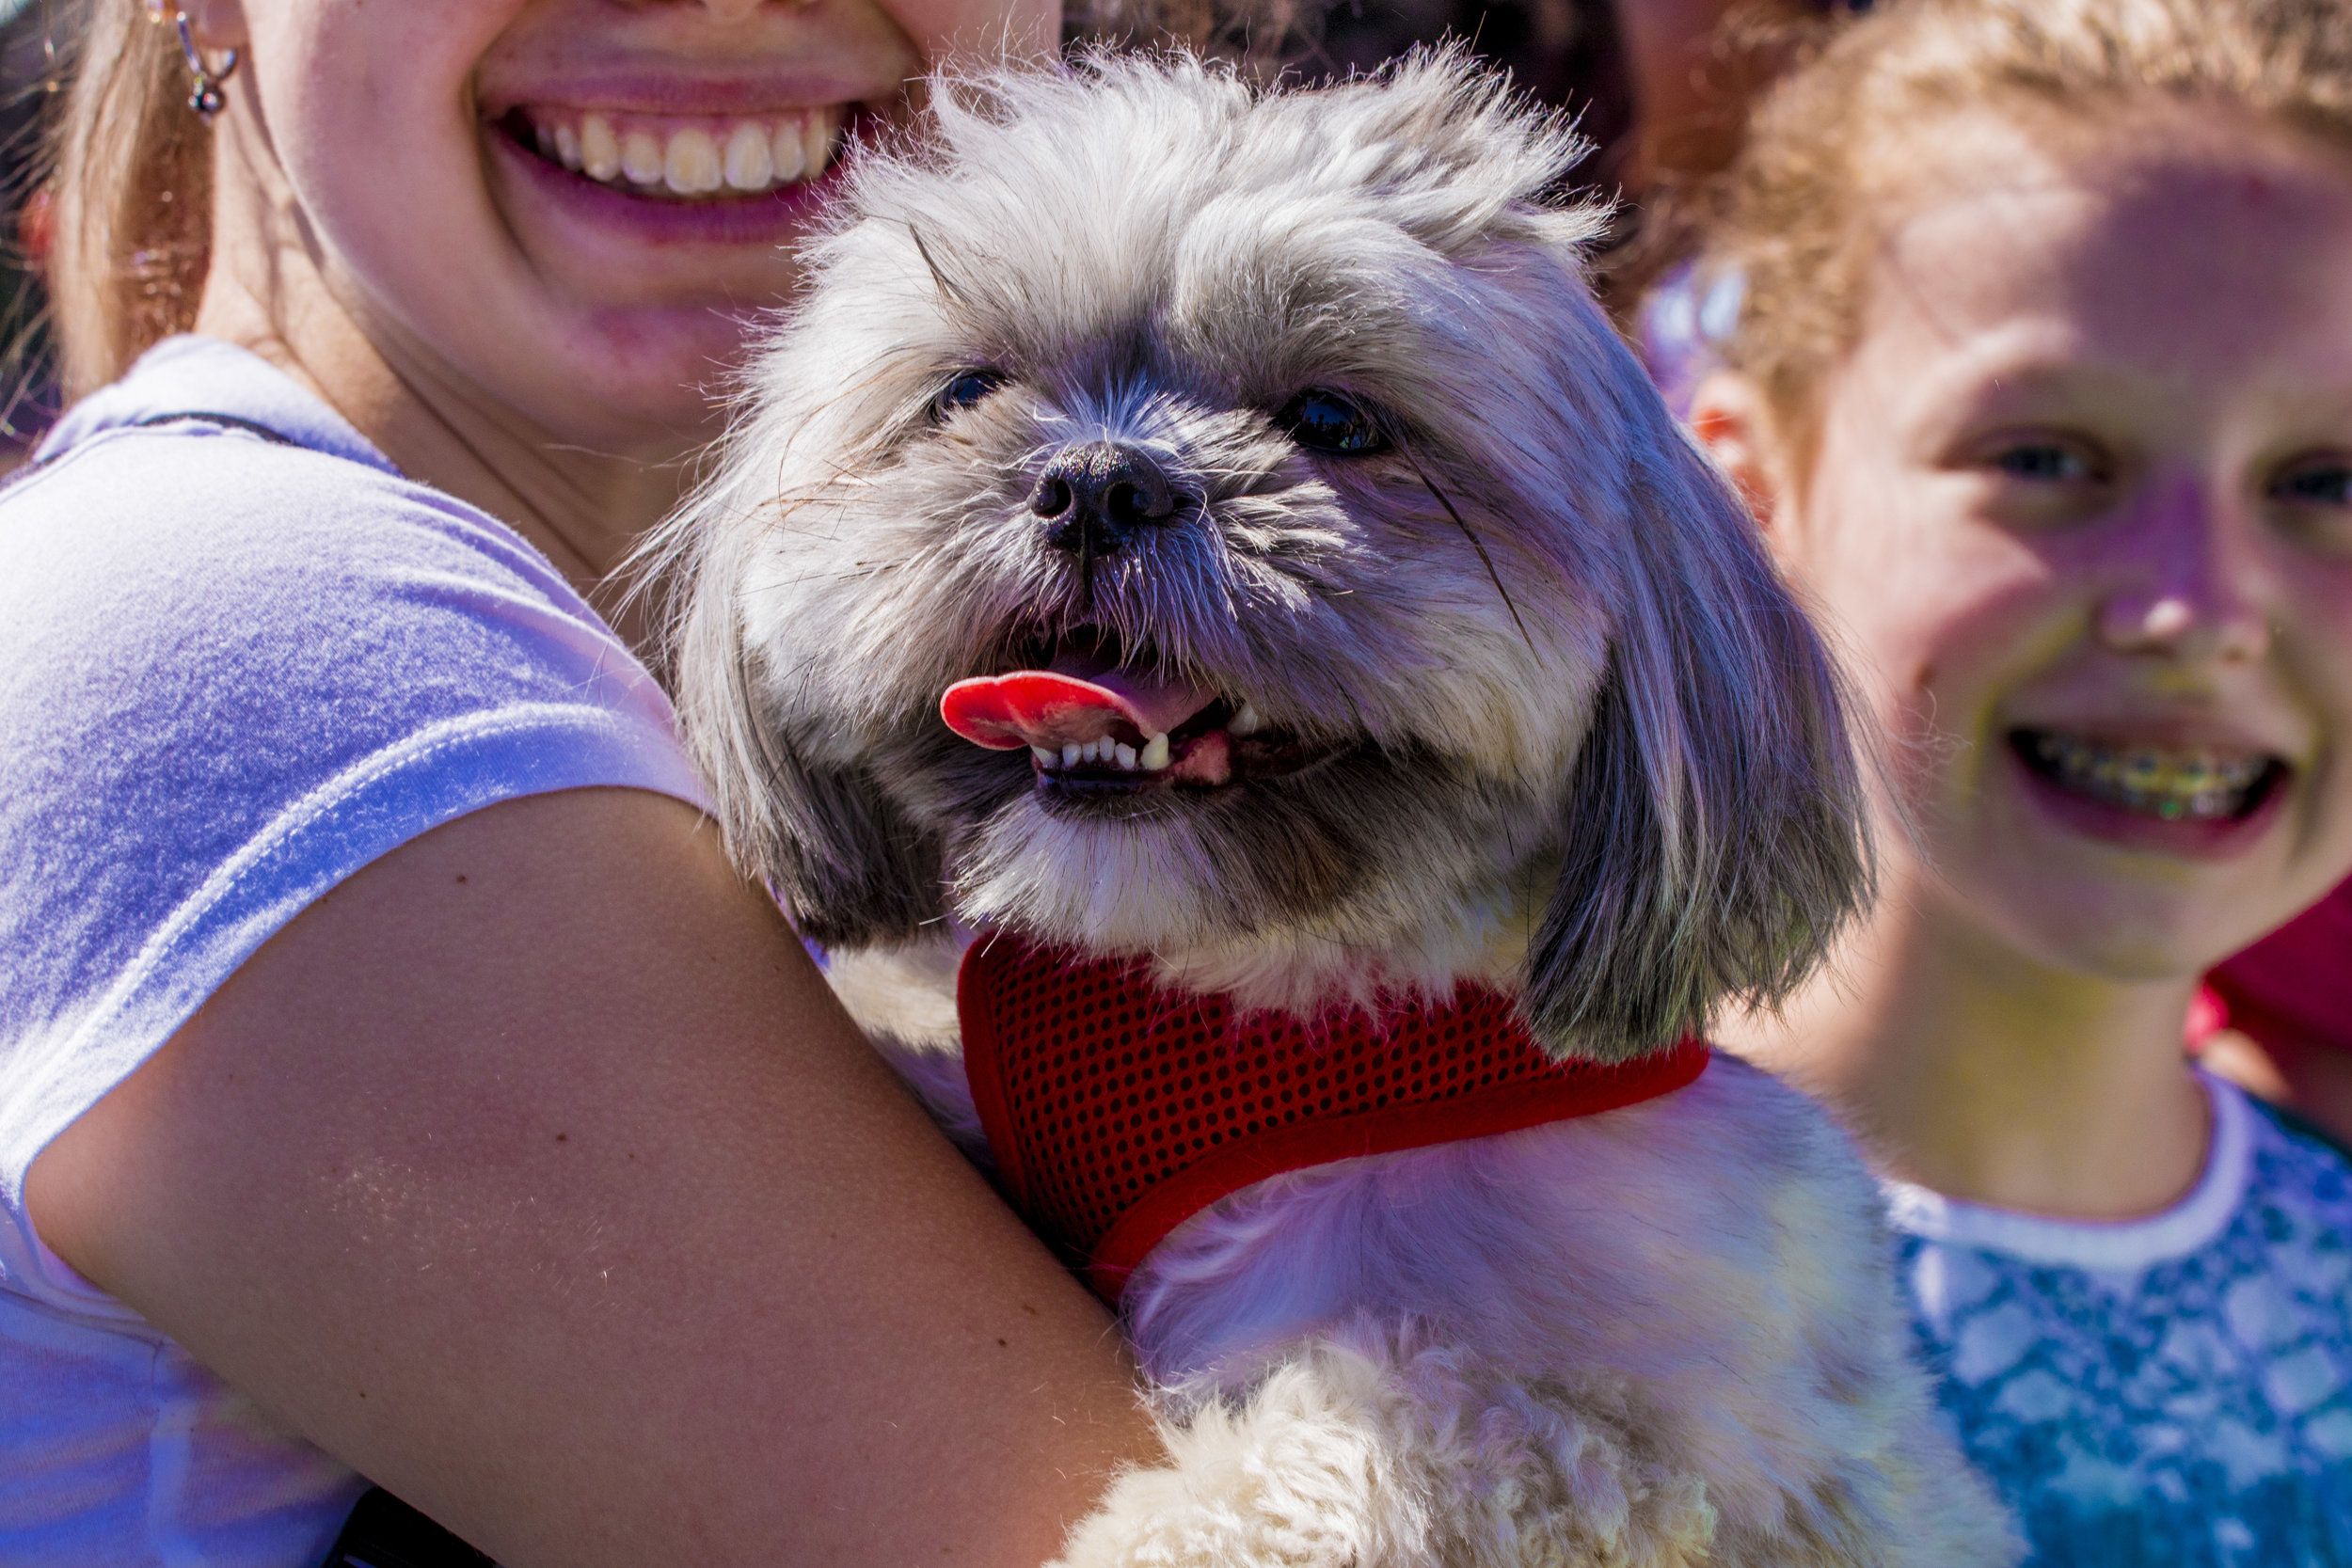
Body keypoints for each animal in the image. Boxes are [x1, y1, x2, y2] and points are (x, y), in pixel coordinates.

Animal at [654, 49, 2013, 1568]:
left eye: (1333, 421)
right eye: (966, 390)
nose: (1096, 482)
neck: (1272, 999)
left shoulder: (1642, 1429)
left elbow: (1388, 1441)